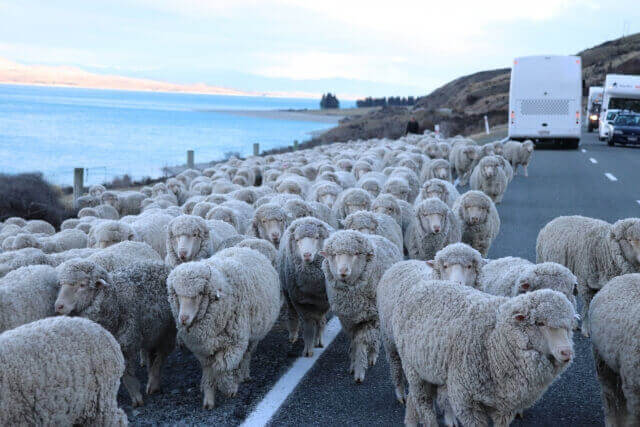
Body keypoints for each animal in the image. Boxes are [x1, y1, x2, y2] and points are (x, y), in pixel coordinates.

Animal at [54, 258, 175, 408]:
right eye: (61, 285)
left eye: (82, 285)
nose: (58, 306)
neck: (116, 300)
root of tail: (160, 264)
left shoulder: (126, 343)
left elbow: (127, 373)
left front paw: (136, 396)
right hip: (151, 331)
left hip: (168, 331)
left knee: (161, 356)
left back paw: (153, 383)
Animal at [166, 249, 282, 410]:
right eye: (177, 294)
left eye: (200, 293)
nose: (183, 319)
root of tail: (249, 249)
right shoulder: (203, 349)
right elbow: (209, 371)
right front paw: (208, 398)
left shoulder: (233, 344)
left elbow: (223, 367)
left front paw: (229, 388)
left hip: (254, 335)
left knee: (246, 355)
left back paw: (243, 375)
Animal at [278, 217, 332, 358]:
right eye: (297, 240)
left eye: (317, 237)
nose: (307, 255)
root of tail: (305, 218)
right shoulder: (301, 303)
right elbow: (308, 327)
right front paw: (308, 350)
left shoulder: (324, 302)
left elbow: (320, 321)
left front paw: (318, 340)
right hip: (287, 293)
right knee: (291, 313)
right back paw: (293, 335)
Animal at [392, 280, 576, 427]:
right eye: (540, 323)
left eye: (568, 326)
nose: (566, 352)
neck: (494, 340)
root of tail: (422, 284)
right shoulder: (467, 402)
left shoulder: (505, 406)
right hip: (411, 366)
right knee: (424, 403)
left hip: (428, 368)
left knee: (414, 398)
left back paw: (410, 422)